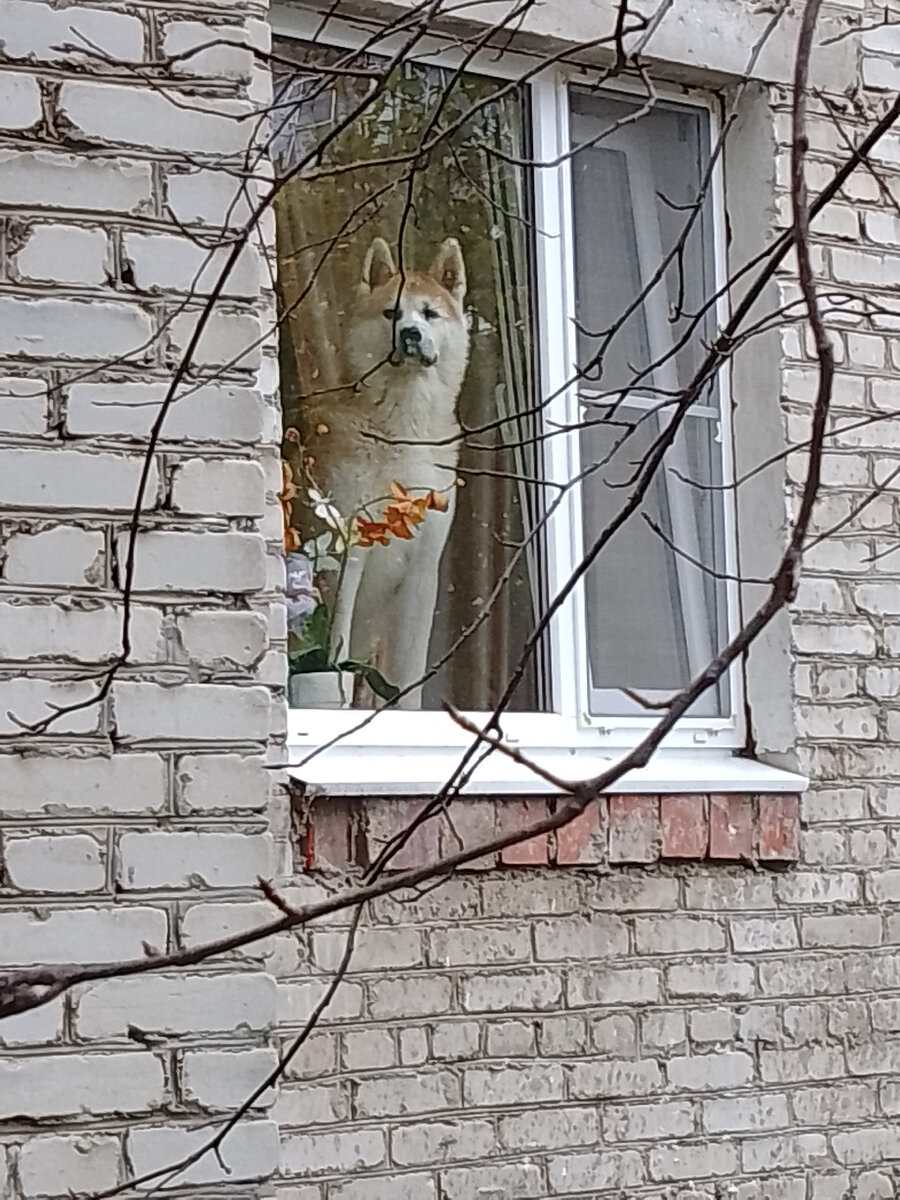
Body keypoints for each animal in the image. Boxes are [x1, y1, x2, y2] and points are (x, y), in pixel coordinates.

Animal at [303, 235, 472, 705]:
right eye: (391, 313)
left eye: (429, 313)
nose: (410, 334)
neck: (401, 429)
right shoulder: (346, 553)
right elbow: (334, 647)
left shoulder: (422, 571)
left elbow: (409, 671)